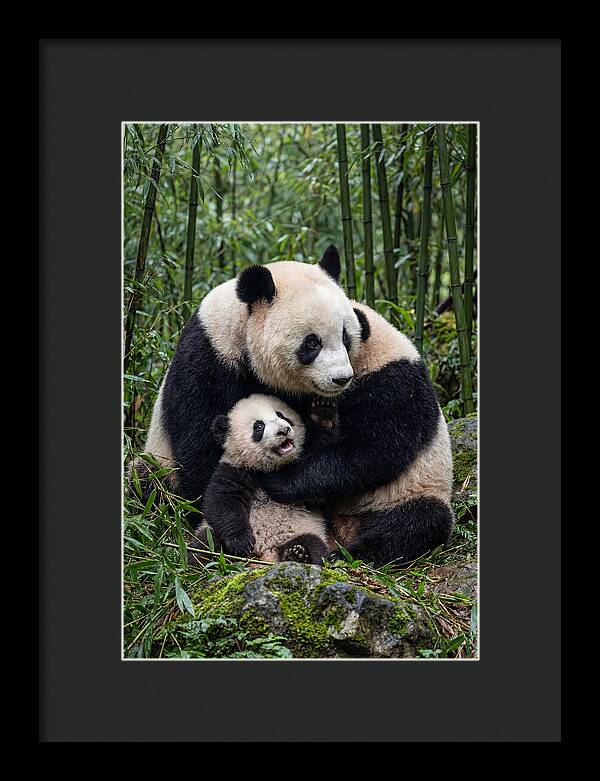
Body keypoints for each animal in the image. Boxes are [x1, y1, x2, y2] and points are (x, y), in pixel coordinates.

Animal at [187, 394, 330, 566]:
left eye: (281, 415)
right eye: (259, 426)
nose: (284, 430)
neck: (267, 467)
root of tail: (266, 553)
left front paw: (322, 414)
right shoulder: (233, 470)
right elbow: (222, 503)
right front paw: (241, 543)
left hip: (301, 530)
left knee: (314, 545)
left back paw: (298, 554)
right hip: (209, 532)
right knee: (204, 544)